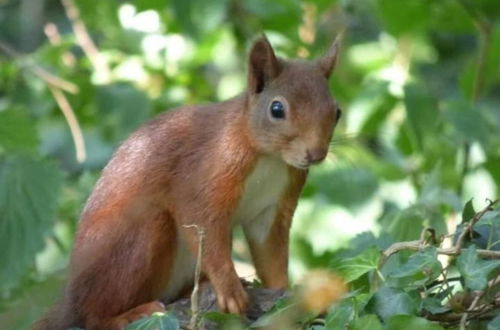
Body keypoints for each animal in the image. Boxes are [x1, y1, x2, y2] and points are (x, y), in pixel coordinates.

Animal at [34, 34, 340, 328]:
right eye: (277, 109)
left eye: (336, 112)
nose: (315, 154)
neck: (270, 157)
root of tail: (71, 299)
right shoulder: (204, 173)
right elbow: (201, 221)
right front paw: (229, 289)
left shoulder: (274, 208)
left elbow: (271, 254)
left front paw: (287, 297)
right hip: (135, 239)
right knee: (93, 316)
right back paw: (129, 315)